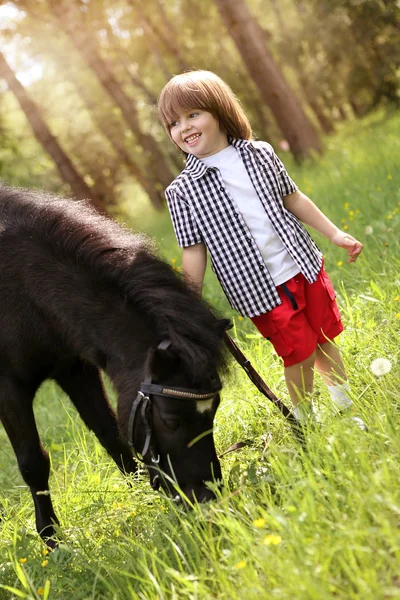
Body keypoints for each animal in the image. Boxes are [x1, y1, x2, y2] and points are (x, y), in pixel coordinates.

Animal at [0, 185, 228, 548]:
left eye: (214, 409)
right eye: (171, 420)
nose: (206, 498)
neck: (21, 285)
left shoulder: (75, 370)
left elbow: (112, 435)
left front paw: (139, 499)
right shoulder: (8, 388)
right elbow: (33, 462)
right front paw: (52, 542)